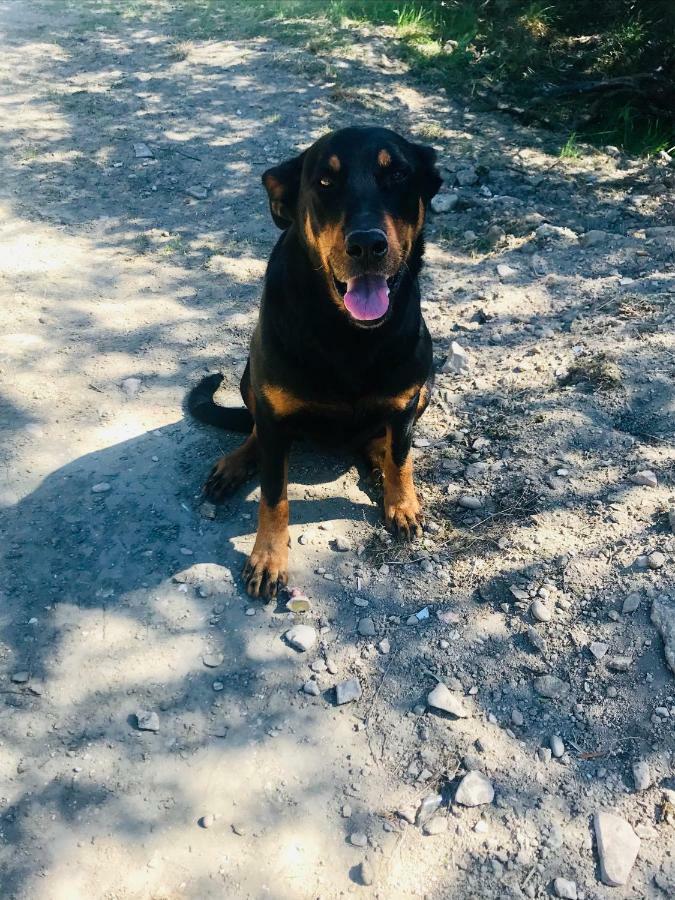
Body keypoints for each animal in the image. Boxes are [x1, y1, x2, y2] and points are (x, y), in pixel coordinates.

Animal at [189, 125, 444, 596]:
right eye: (324, 182)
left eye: (398, 174)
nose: (366, 244)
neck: (348, 333)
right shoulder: (273, 411)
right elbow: (274, 496)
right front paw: (268, 558)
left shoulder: (405, 402)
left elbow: (401, 459)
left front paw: (402, 502)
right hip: (250, 380)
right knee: (256, 431)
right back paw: (236, 463)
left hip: (427, 386)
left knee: (386, 444)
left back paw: (379, 458)